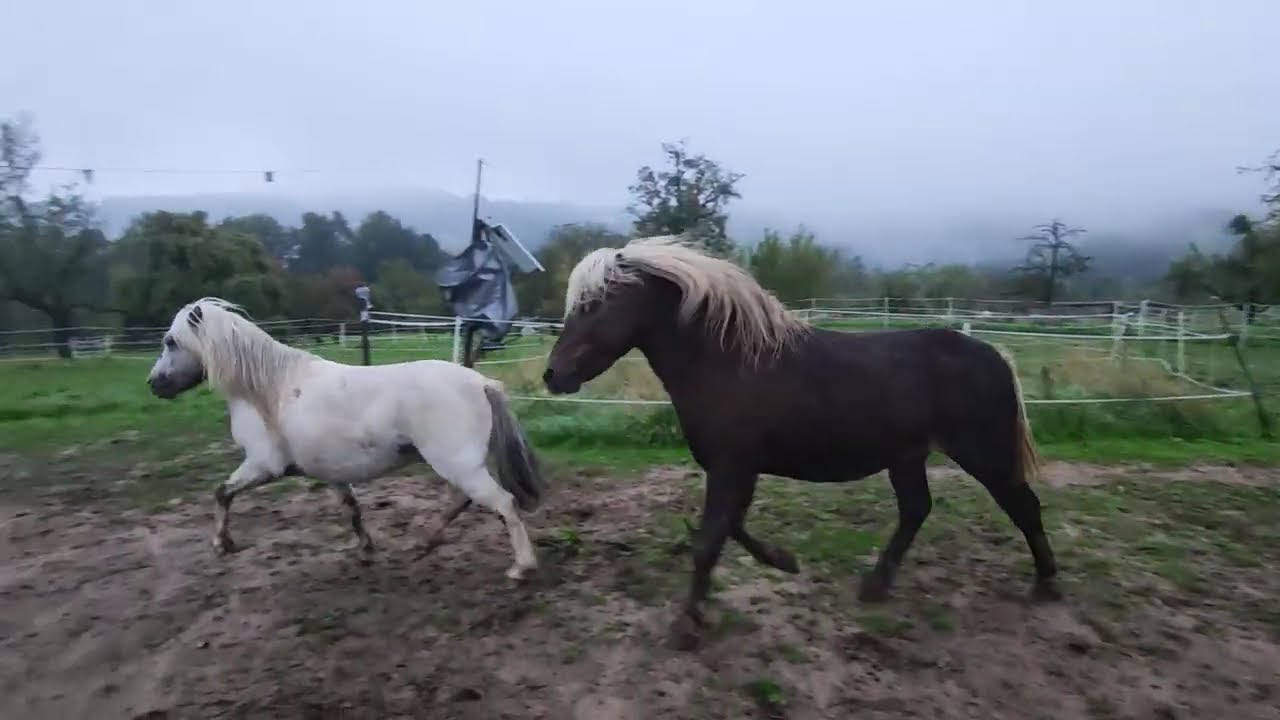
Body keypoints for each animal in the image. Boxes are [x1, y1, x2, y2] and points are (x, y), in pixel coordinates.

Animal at [145, 297, 545, 581]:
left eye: (171, 341)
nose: (154, 384)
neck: (270, 391)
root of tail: (481, 382)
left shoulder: (263, 466)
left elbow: (222, 493)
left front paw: (222, 544)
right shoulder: (331, 473)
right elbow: (352, 509)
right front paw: (366, 550)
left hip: (458, 463)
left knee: (504, 504)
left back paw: (521, 567)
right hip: (458, 465)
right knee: (462, 501)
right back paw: (423, 544)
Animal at [542, 235, 1060, 651]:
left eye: (593, 304)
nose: (553, 375)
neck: (729, 362)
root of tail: (994, 355)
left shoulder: (731, 467)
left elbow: (710, 539)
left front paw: (687, 626)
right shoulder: (737, 468)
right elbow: (731, 527)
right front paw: (784, 562)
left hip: (983, 455)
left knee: (1024, 508)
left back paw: (1046, 587)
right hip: (907, 456)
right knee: (917, 509)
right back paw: (875, 586)